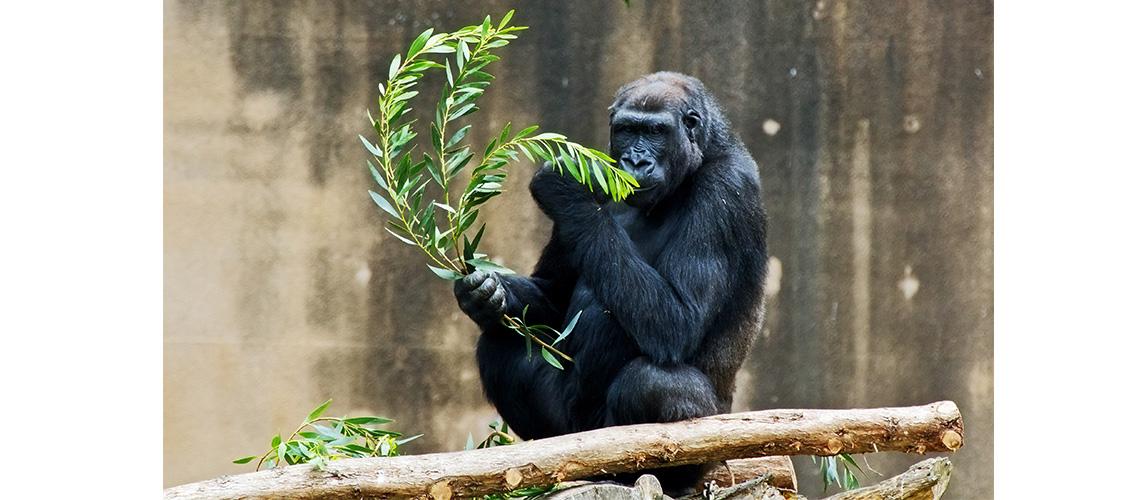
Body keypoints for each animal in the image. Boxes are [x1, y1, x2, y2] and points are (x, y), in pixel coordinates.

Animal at [456, 71, 767, 489]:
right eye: (626, 130)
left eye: (655, 131)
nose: (635, 160)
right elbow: (553, 292)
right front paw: (485, 294)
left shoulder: (727, 189)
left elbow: (677, 322)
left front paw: (562, 188)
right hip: (573, 428)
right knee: (499, 345)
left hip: (716, 435)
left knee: (653, 384)